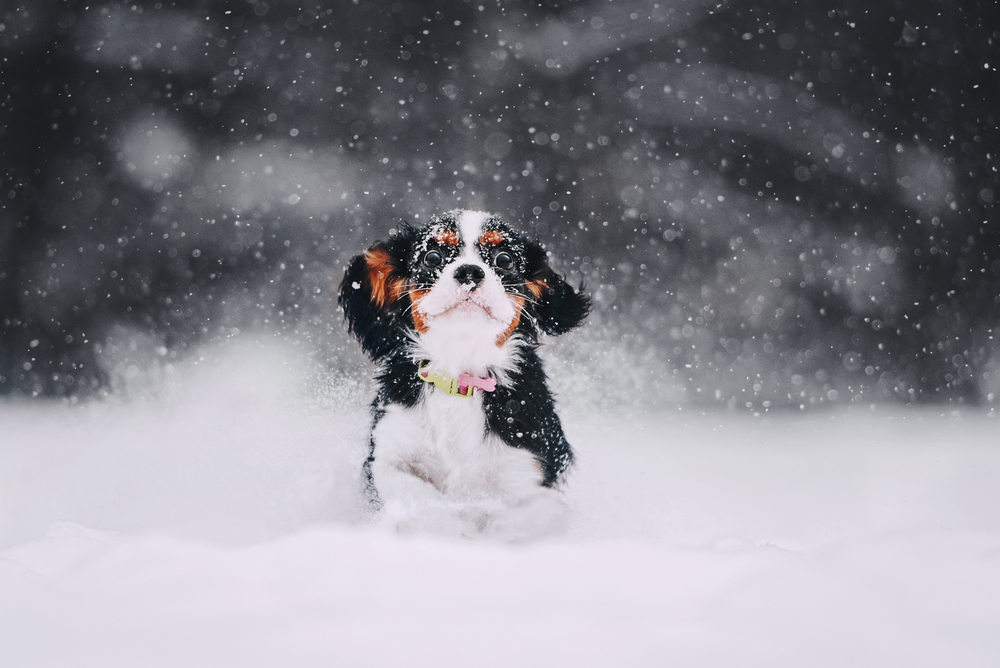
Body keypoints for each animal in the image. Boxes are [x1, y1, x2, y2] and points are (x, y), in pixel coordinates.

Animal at [340, 209, 588, 536]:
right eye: (432, 256)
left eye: (504, 259)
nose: (470, 271)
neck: (458, 376)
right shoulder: (388, 450)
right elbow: (415, 496)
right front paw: (456, 529)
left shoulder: (530, 470)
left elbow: (517, 520)